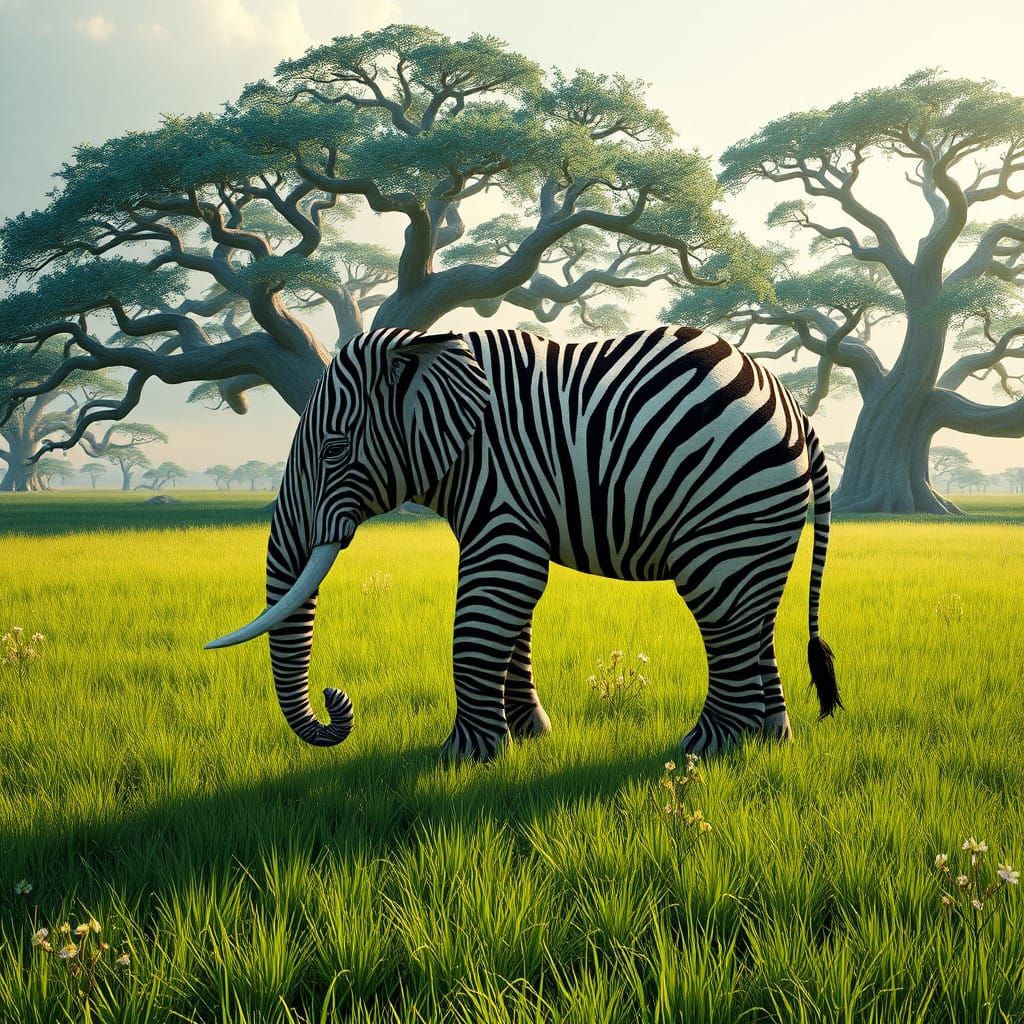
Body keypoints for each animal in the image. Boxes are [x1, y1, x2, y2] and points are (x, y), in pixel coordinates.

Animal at [207, 324, 841, 760]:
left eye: (336, 450)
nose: (337, 699)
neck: (435, 349)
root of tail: (796, 409)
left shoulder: (503, 478)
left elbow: (491, 602)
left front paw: (460, 759)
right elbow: (513, 609)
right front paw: (530, 735)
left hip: (732, 502)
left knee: (722, 607)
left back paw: (705, 750)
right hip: (766, 516)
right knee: (756, 613)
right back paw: (770, 741)